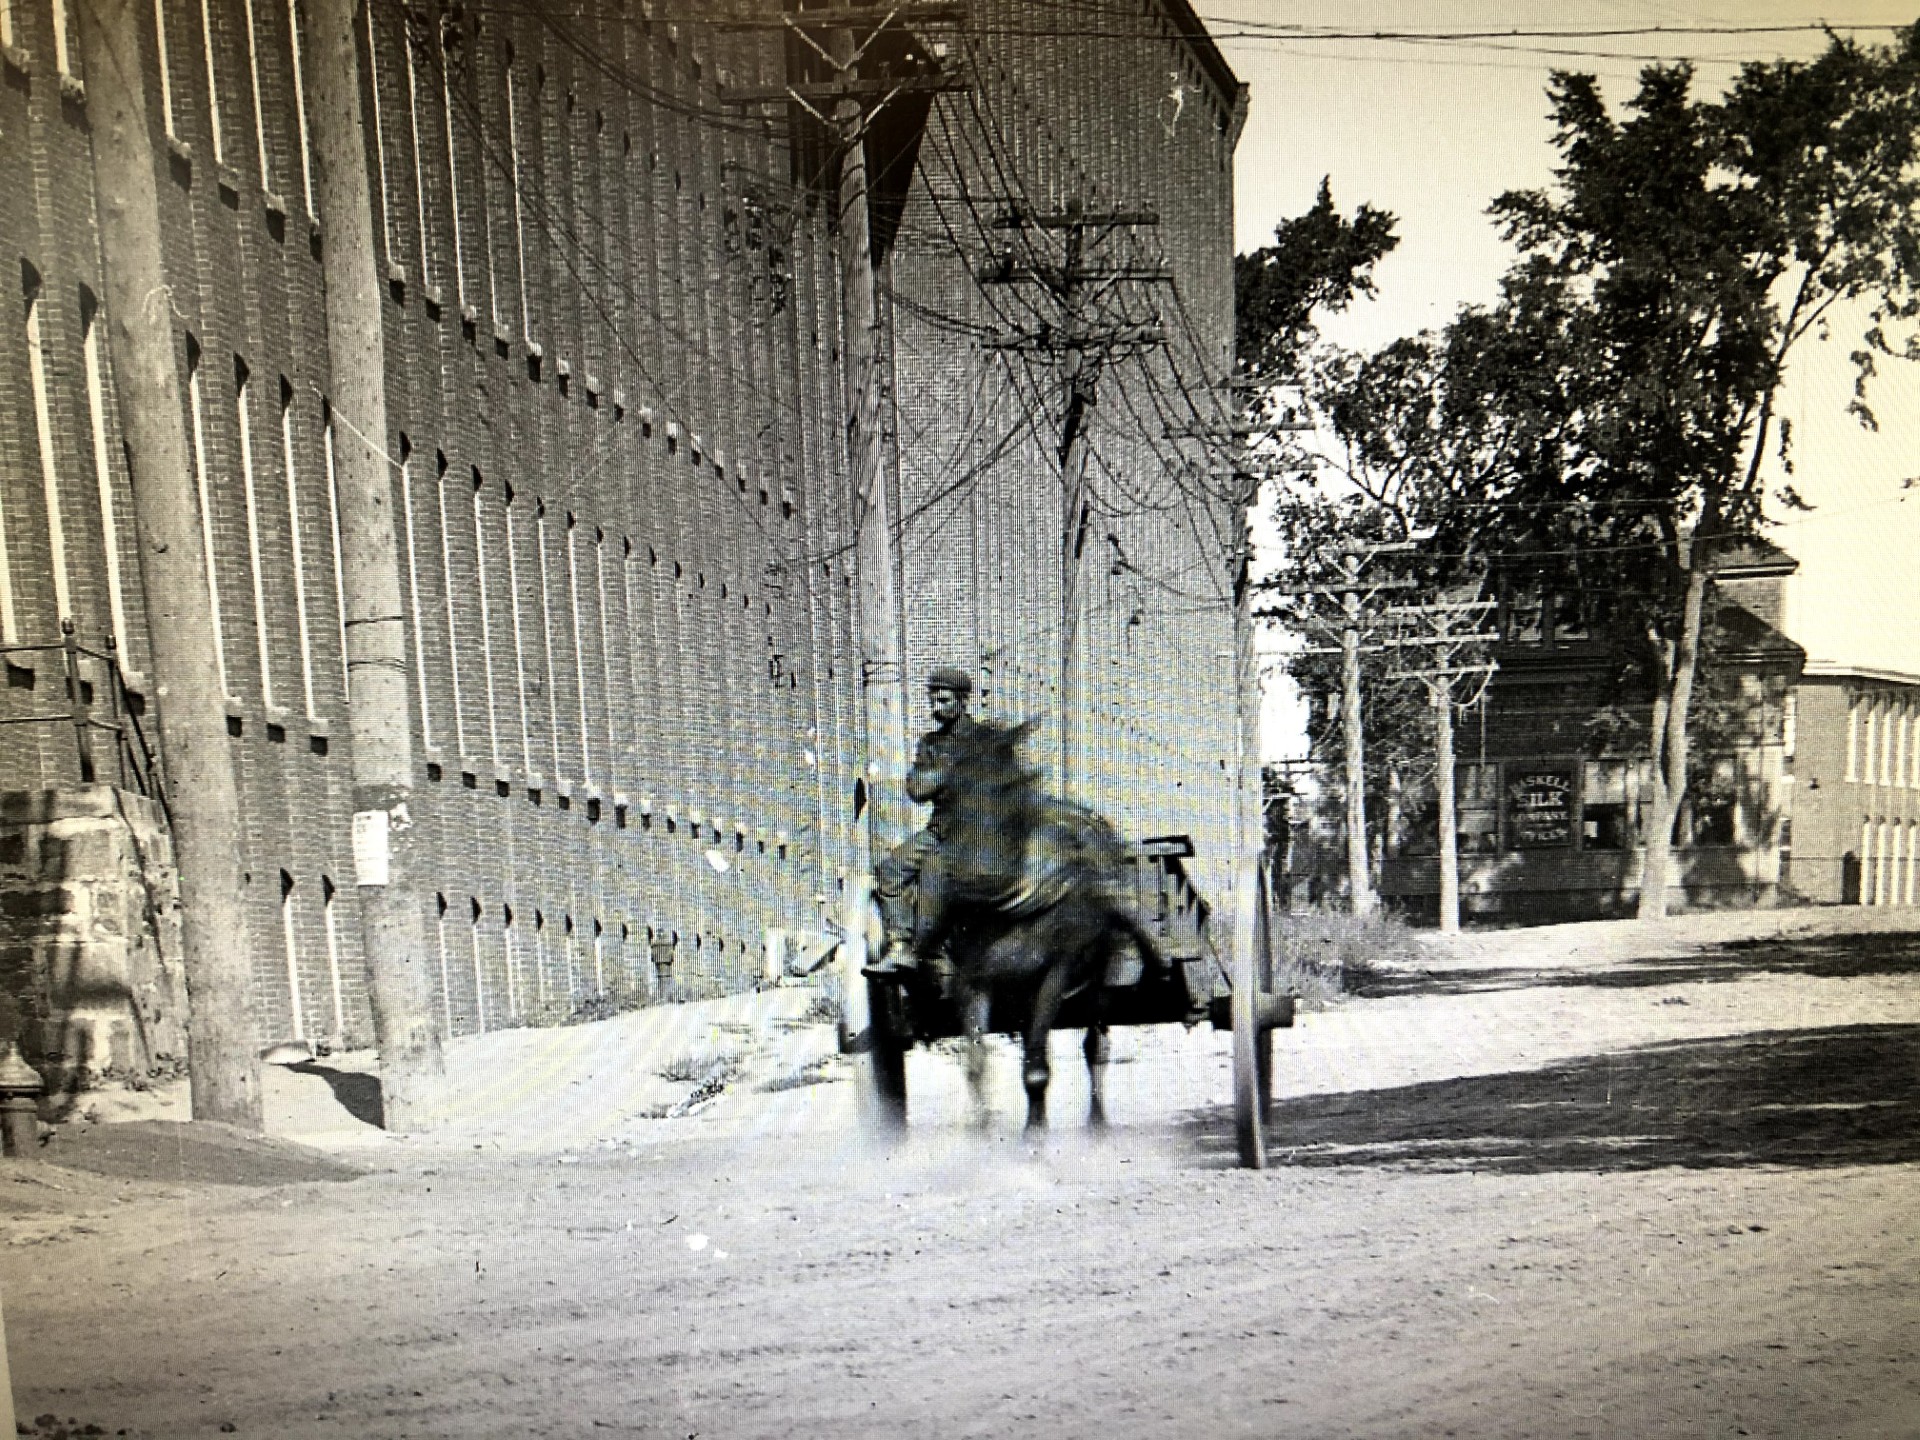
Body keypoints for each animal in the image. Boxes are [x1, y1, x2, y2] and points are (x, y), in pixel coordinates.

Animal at [926, 719, 1163, 1131]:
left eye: (1011, 784)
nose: (970, 878)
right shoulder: (973, 980)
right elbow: (977, 1061)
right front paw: (984, 1130)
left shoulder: (1055, 975)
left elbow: (1038, 1067)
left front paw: (1034, 1133)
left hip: (1100, 975)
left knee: (1095, 1045)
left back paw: (1096, 1121)